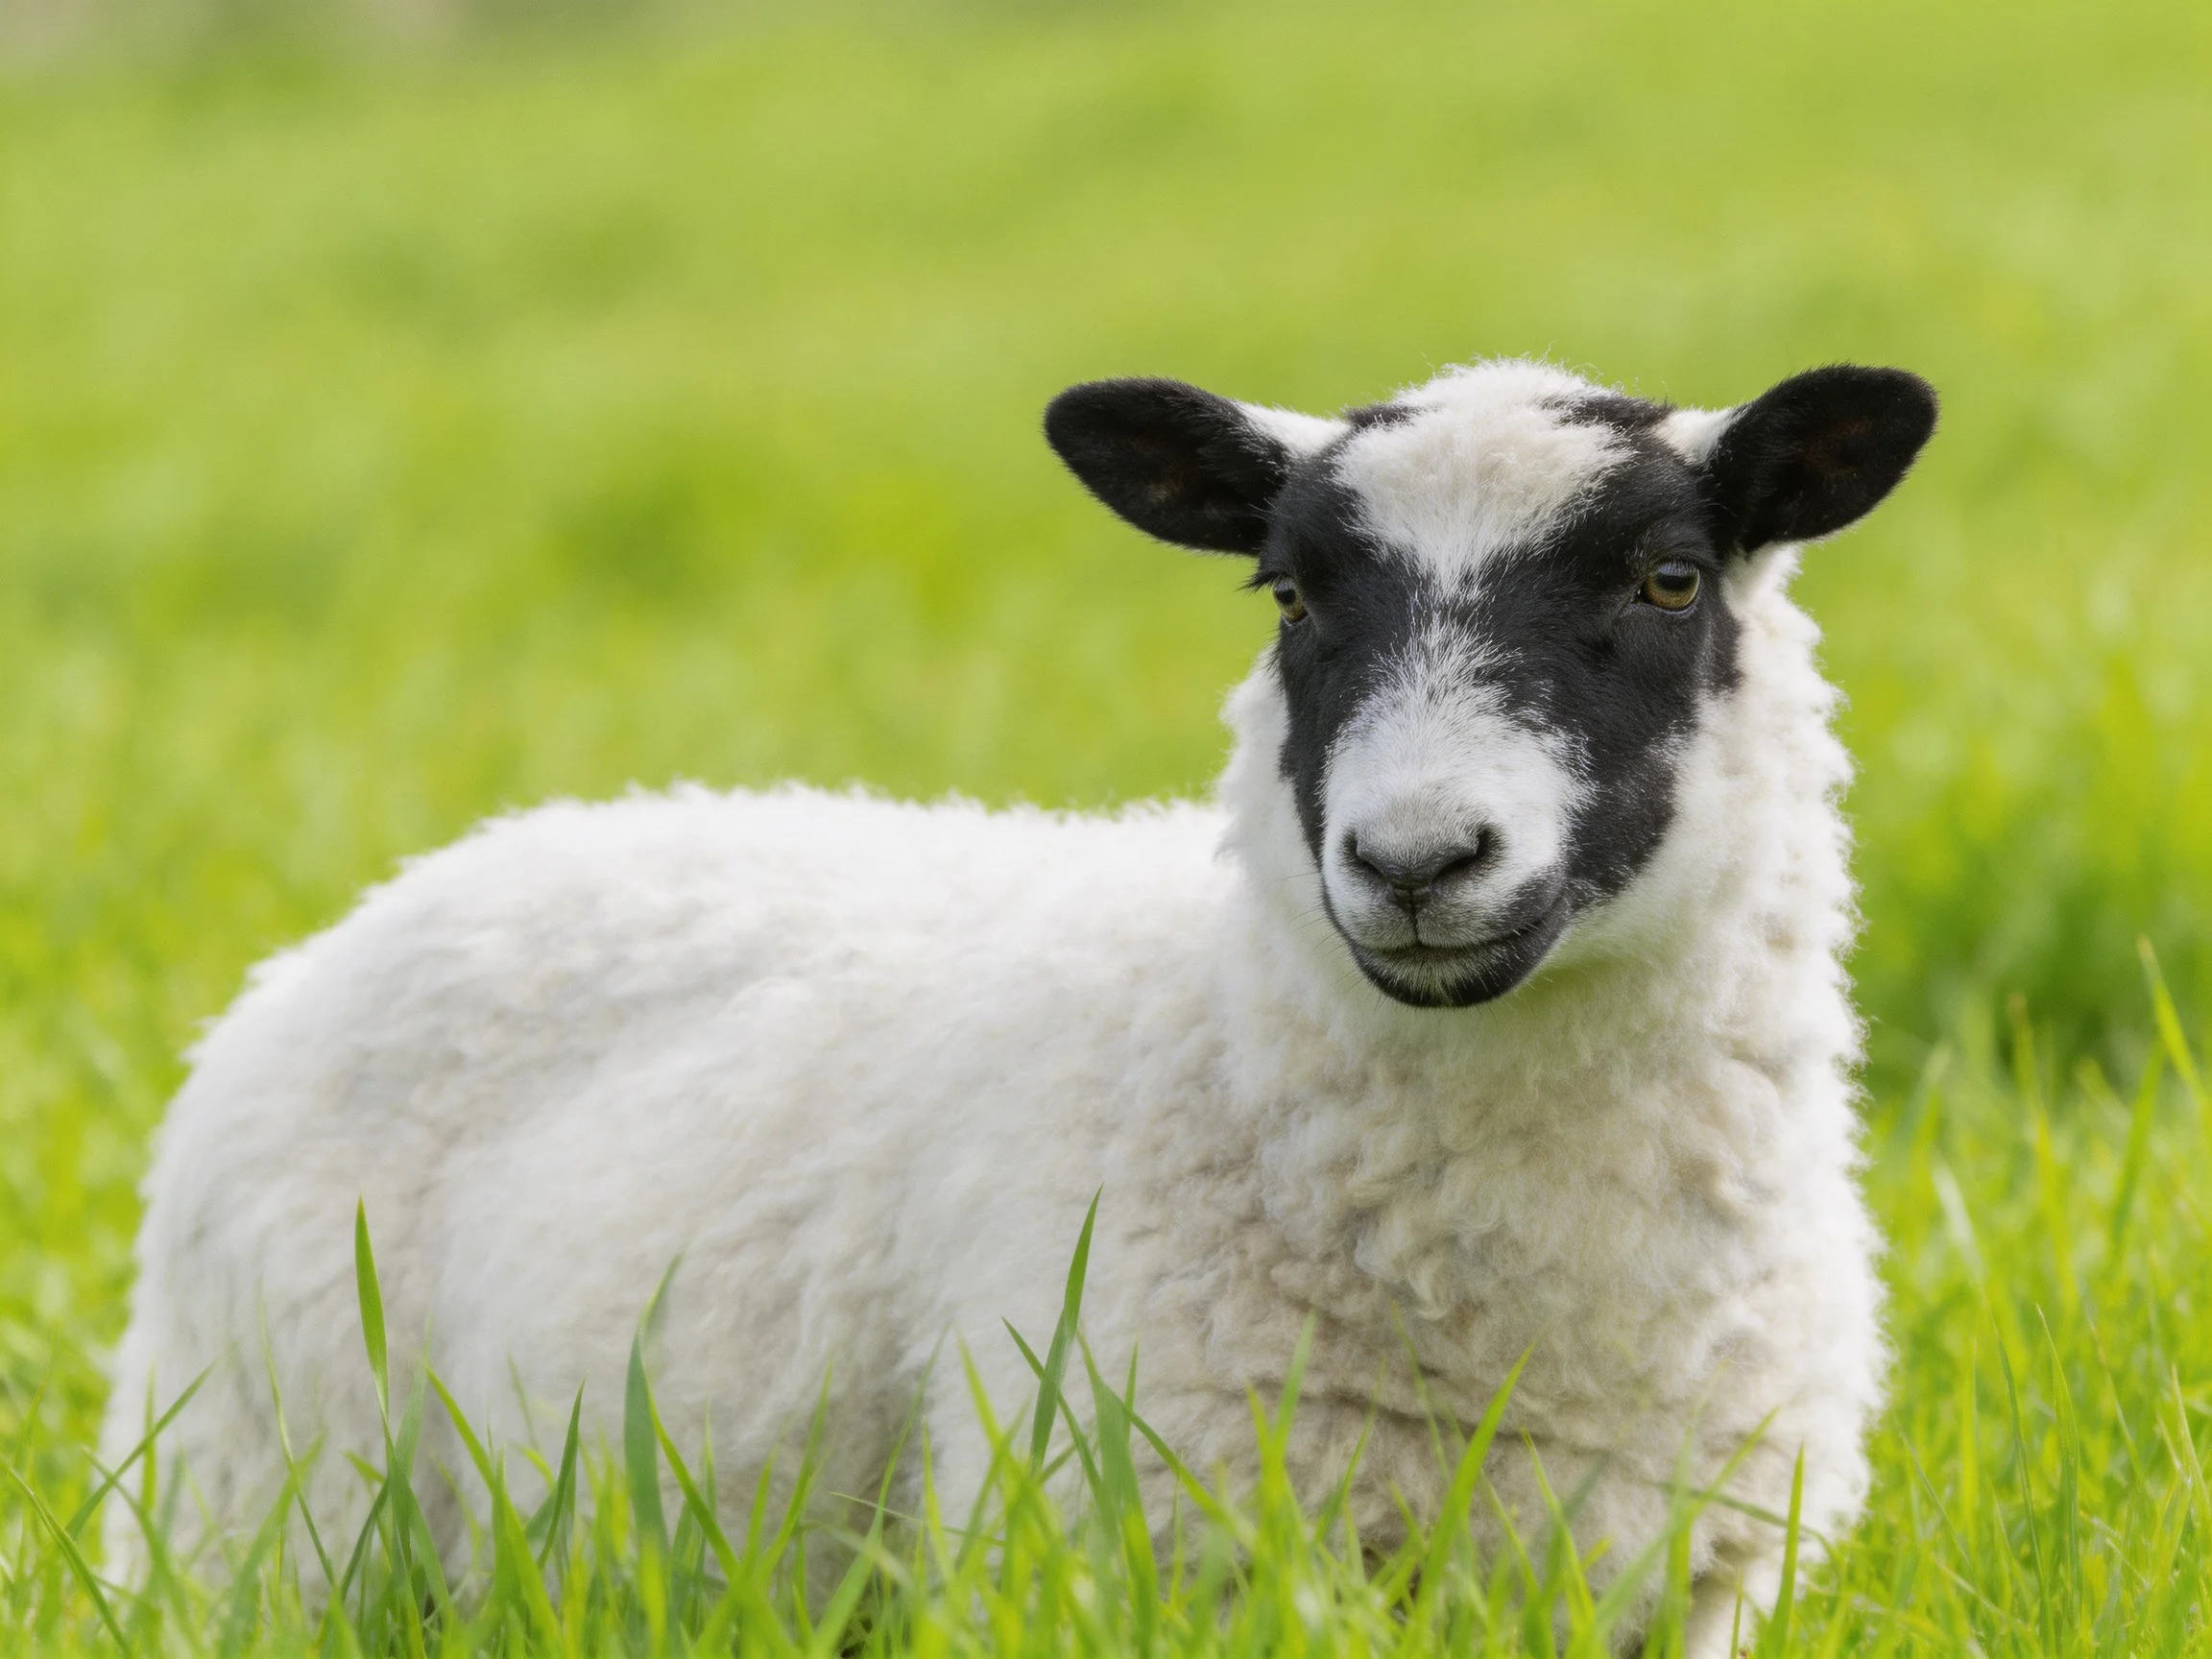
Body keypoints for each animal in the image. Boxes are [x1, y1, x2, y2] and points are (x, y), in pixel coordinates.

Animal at [102, 355, 1937, 1654]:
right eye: (1289, 596)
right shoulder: (1140, 1533)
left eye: (1668, 580)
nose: (1416, 859)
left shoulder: (1686, 1579)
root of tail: (386, 900)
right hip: (257, 1497)